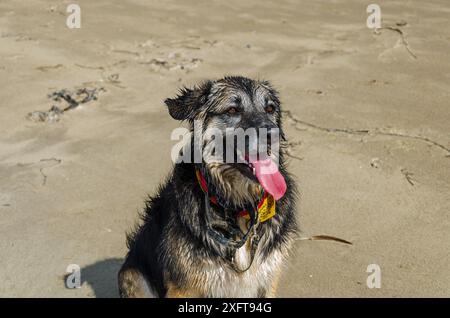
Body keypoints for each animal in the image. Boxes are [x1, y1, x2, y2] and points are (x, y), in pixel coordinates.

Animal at [118, 76, 298, 296]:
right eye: (232, 110)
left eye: (270, 108)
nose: (272, 134)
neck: (237, 205)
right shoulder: (183, 287)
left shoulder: (267, 277)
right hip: (132, 275)